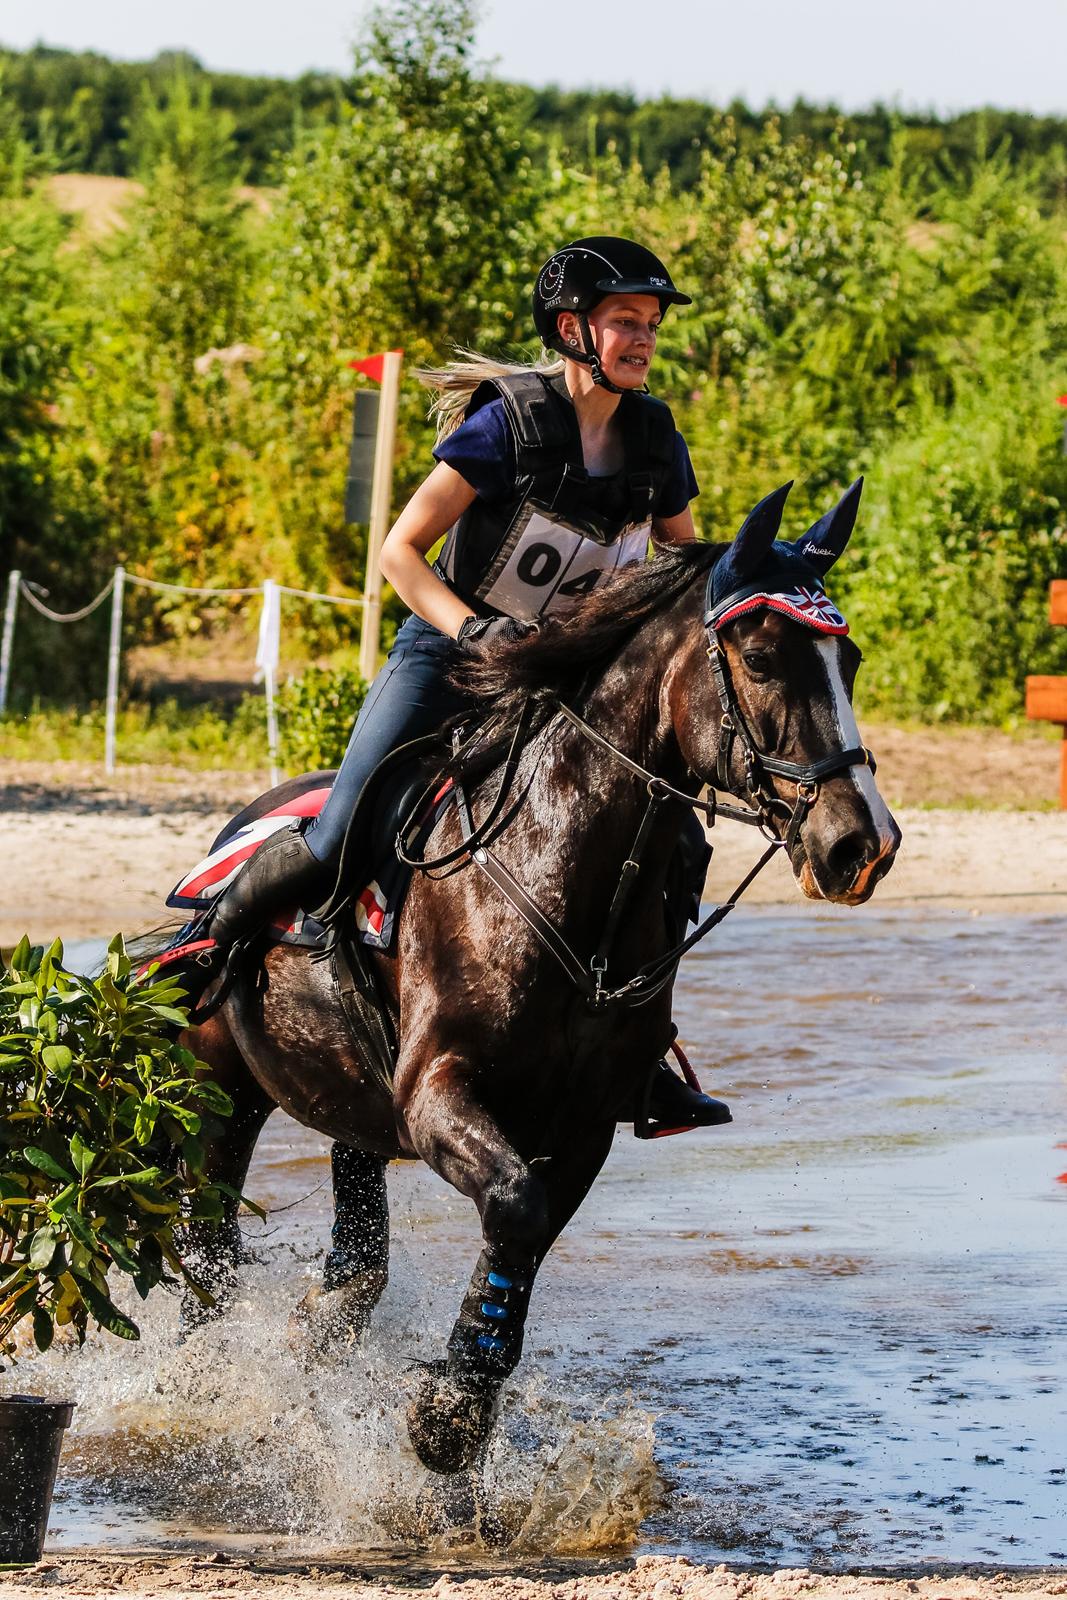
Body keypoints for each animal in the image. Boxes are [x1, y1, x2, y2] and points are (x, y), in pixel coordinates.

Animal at [181, 486, 902, 1472]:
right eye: (759, 659)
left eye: (849, 660)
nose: (859, 845)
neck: (564, 872)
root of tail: (240, 824)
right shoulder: (438, 1091)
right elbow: (515, 1210)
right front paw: (447, 1414)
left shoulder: (582, 1123)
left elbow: (522, 1241)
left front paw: (460, 1404)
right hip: (223, 1088)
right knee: (206, 1237)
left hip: (349, 1093)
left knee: (353, 1224)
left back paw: (323, 1320)